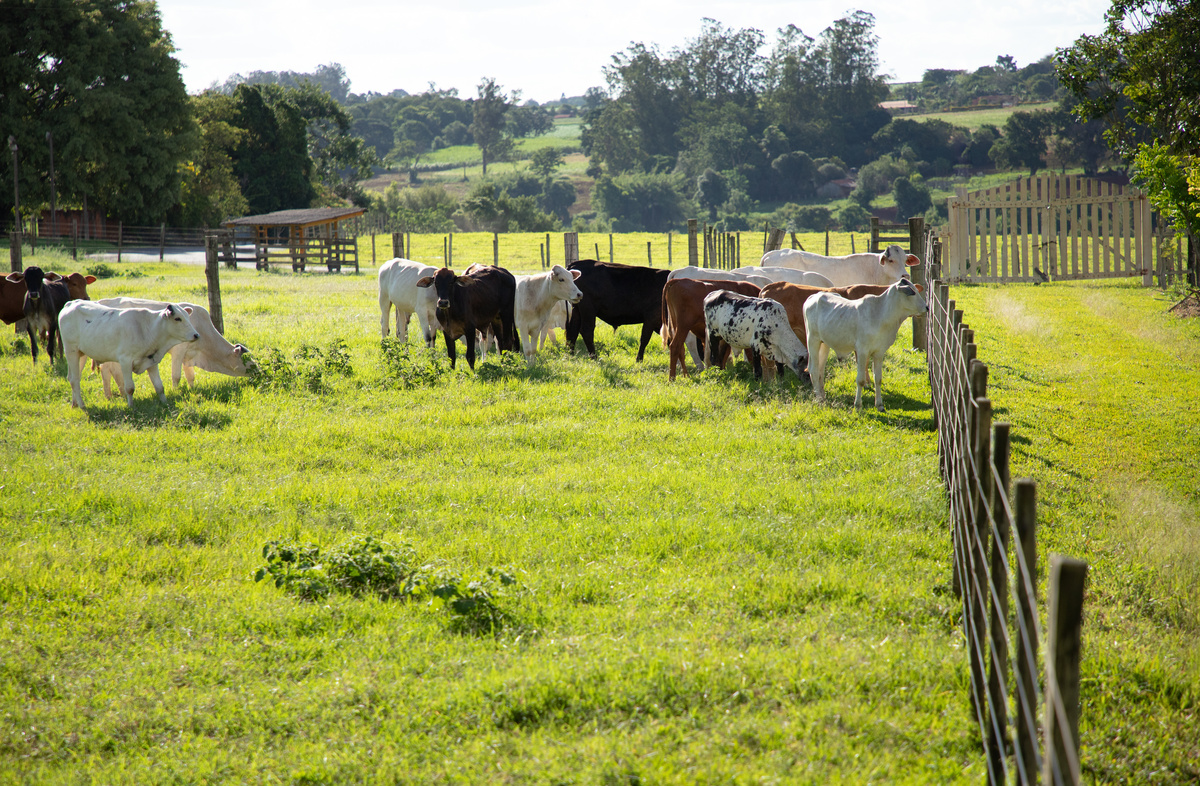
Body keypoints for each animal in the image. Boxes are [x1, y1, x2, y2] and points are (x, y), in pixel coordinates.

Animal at [57, 301, 199, 408]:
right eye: (177, 318)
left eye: (187, 317)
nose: (196, 335)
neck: (147, 328)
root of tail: (70, 303)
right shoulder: (125, 361)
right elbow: (129, 388)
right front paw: (131, 406)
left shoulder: (151, 362)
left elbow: (159, 387)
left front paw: (165, 403)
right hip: (71, 352)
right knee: (75, 380)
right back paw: (82, 405)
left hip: (81, 354)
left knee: (73, 377)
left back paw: (75, 403)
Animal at [94, 296, 254, 393]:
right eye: (250, 362)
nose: (258, 372)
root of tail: (103, 302)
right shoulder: (179, 351)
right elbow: (176, 376)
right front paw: (176, 392)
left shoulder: (189, 356)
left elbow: (190, 376)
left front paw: (192, 389)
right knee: (111, 371)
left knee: (107, 370)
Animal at [801, 278, 931, 412]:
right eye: (913, 292)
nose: (926, 307)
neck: (882, 314)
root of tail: (814, 296)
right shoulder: (862, 351)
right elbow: (861, 380)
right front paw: (858, 405)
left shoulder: (879, 353)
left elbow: (878, 379)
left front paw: (879, 405)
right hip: (813, 340)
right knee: (814, 369)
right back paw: (819, 399)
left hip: (824, 344)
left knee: (820, 370)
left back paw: (822, 395)